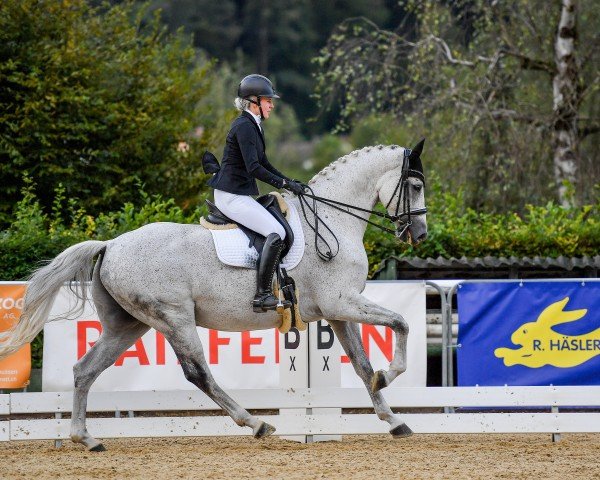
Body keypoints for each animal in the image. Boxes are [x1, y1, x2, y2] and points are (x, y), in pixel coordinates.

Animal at [2, 141, 428, 452]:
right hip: (174, 318)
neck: (332, 220)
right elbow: (401, 323)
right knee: (198, 373)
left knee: (85, 370)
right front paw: (391, 374)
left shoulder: (338, 311)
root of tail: (110, 245)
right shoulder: (342, 302)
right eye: (416, 186)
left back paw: (86, 438)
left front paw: (393, 419)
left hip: (129, 325)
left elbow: (361, 365)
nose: (419, 234)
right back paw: (255, 423)